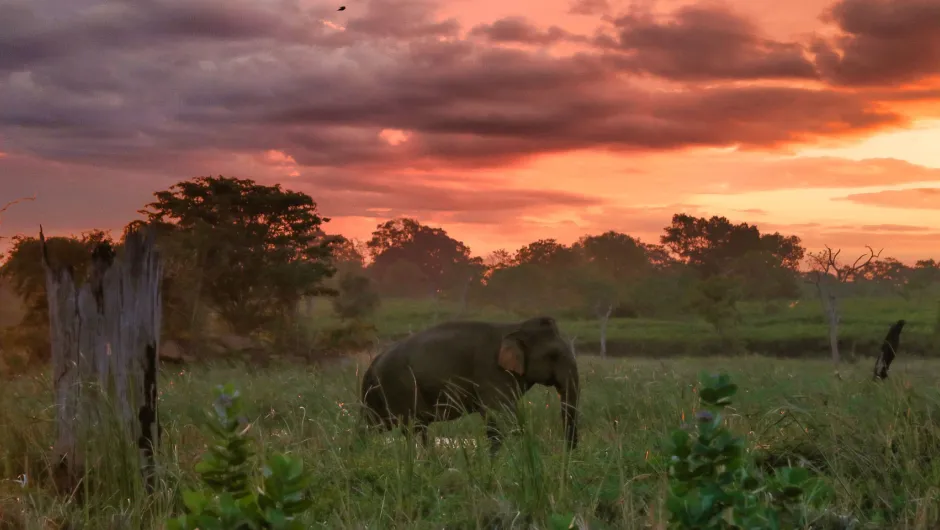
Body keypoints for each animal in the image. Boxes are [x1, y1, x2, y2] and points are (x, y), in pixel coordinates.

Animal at [360, 316, 580, 452]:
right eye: (553, 355)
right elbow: (499, 418)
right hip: (400, 385)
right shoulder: (491, 371)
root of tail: (371, 364)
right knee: (412, 427)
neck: (514, 327)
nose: (568, 453)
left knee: (378, 426)